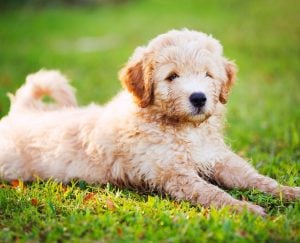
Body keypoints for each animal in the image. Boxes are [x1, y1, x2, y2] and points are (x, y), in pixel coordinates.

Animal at [0, 29, 300, 215]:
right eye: (172, 77)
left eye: (208, 75)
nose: (199, 98)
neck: (184, 128)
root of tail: (22, 111)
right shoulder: (173, 173)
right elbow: (210, 192)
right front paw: (243, 209)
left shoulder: (218, 158)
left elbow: (255, 178)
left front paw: (289, 192)